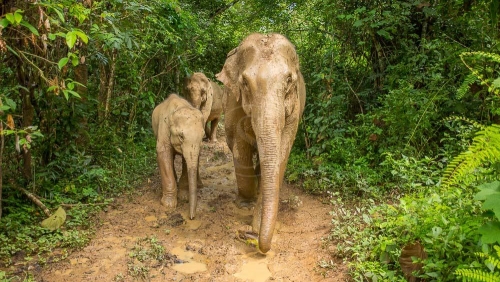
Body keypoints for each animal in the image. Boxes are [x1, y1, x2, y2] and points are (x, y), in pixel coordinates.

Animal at [215, 33, 304, 253]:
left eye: (288, 80)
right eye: (245, 83)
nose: (249, 235)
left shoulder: (294, 109)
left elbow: (281, 155)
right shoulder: (234, 104)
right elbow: (240, 148)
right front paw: (245, 203)